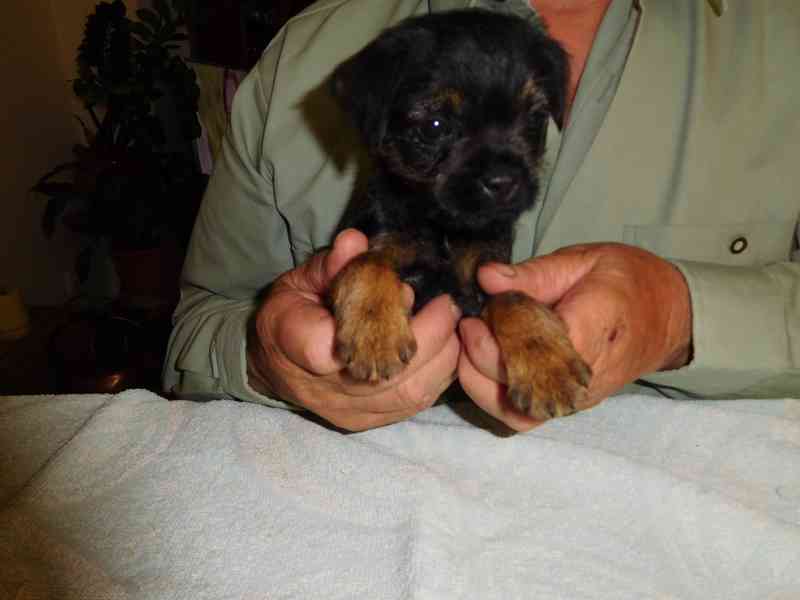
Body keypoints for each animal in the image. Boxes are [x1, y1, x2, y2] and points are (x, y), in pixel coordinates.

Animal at [328, 10, 592, 422]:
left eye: (535, 119)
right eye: (434, 126)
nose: (504, 181)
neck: (443, 226)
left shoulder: (483, 278)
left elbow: (513, 297)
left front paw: (548, 363)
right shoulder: (376, 237)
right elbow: (366, 261)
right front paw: (374, 332)